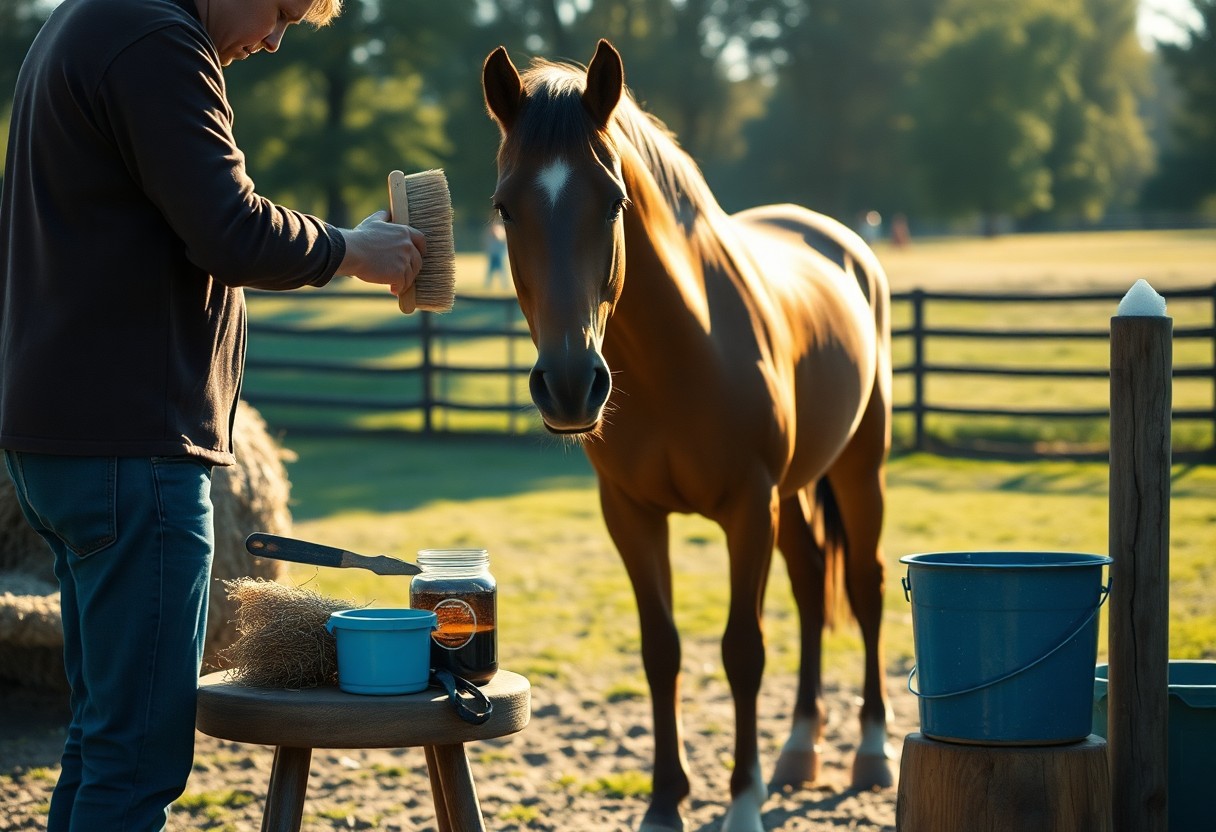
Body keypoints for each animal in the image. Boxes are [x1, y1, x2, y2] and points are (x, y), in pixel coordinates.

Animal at [482, 40, 894, 832]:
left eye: (613, 200)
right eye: (504, 207)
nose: (571, 385)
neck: (679, 352)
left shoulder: (747, 508)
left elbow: (742, 650)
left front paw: (743, 800)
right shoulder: (632, 514)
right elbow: (661, 650)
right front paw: (666, 801)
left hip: (858, 473)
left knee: (864, 588)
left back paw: (871, 750)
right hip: (793, 496)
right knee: (808, 586)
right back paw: (800, 747)